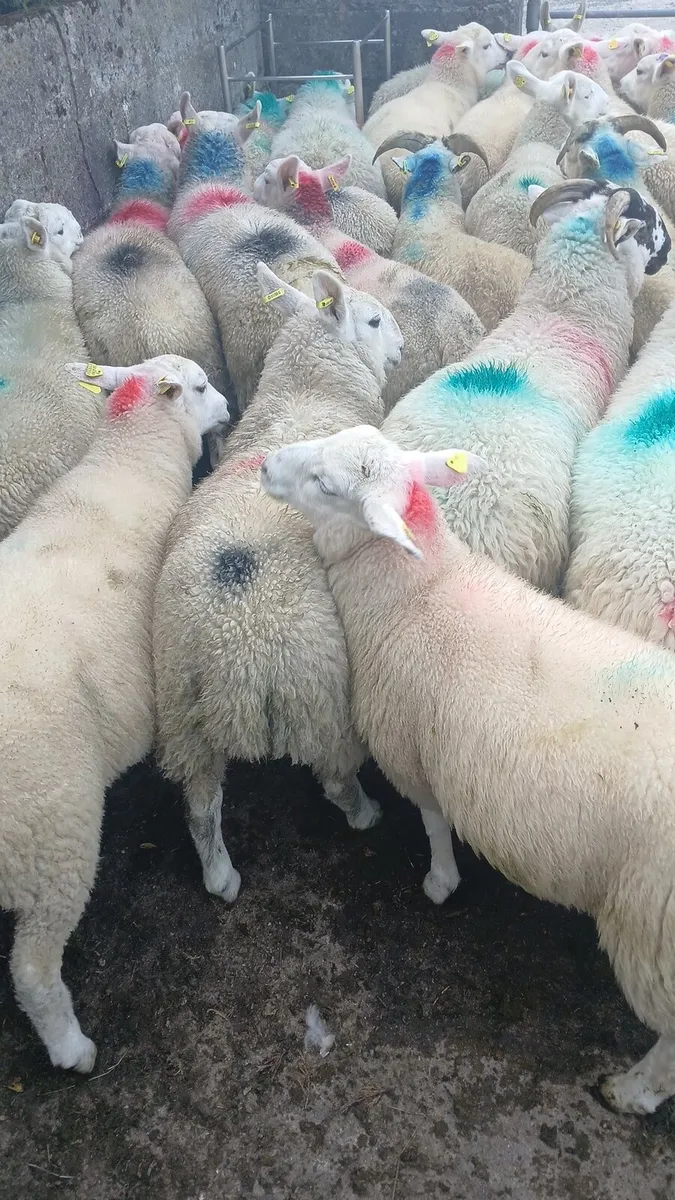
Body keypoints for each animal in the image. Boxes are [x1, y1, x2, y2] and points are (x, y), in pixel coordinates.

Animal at [0, 355, 229, 1072]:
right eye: (202, 387)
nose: (229, 406)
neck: (130, 458)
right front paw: (221, 877)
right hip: (54, 830)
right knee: (33, 971)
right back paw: (71, 1047)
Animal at [152, 266, 403, 904]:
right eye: (373, 320)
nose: (402, 347)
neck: (309, 392)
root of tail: (232, 650)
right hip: (321, 696)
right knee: (334, 778)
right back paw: (366, 813)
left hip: (181, 710)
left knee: (201, 805)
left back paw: (221, 878)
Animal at [261, 421, 675, 1117]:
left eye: (325, 484)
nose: (264, 464)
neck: (420, 588)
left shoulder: (413, 751)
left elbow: (432, 823)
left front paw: (440, 881)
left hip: (650, 932)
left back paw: (630, 1090)